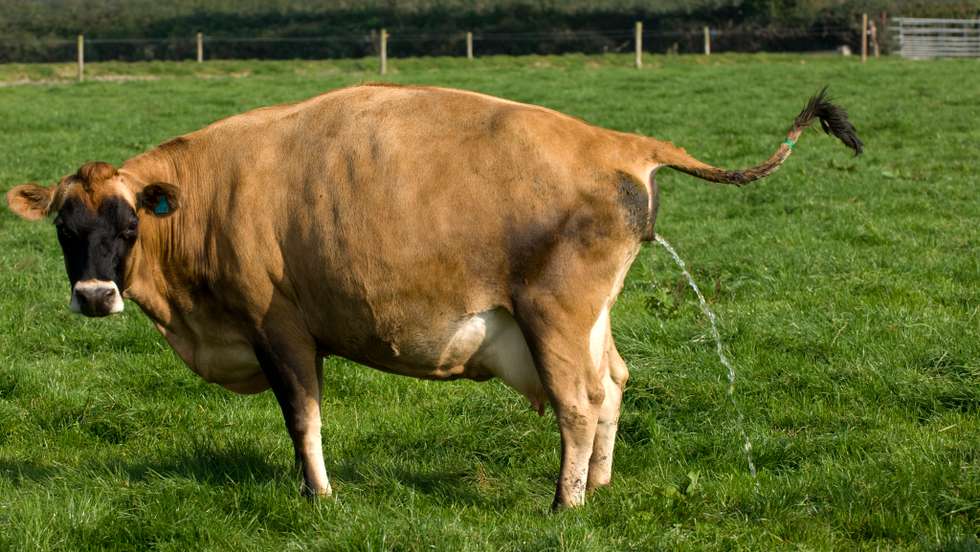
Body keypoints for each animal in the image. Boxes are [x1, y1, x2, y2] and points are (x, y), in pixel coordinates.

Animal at [5, 84, 861, 509]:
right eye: (66, 228)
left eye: (126, 224)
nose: (93, 295)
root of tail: (615, 142)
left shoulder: (278, 327)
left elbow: (302, 418)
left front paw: (319, 499)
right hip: (588, 319)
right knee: (614, 383)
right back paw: (601, 486)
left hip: (553, 315)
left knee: (579, 403)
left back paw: (565, 503)